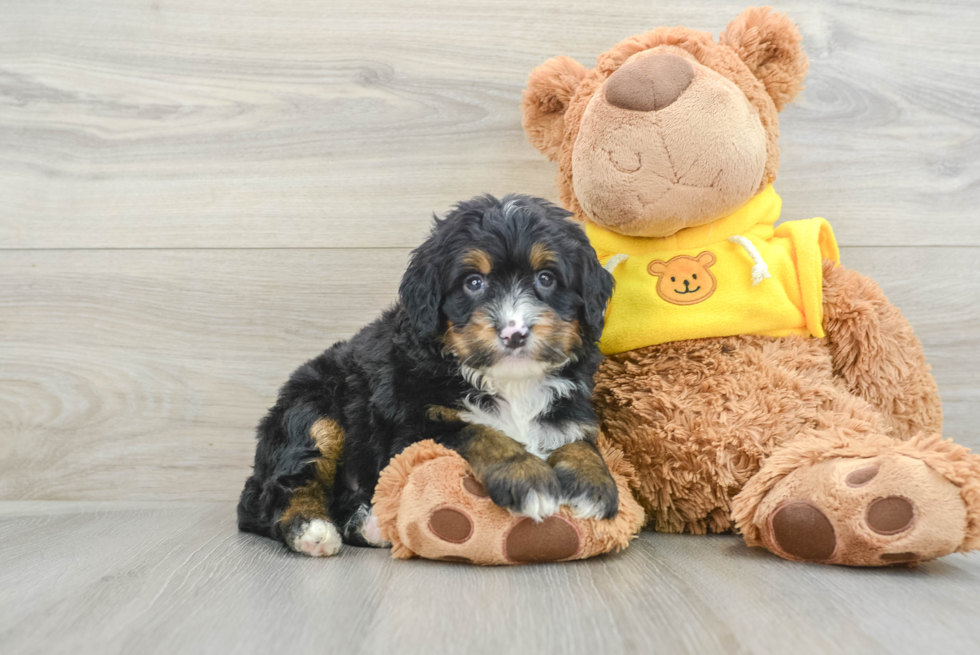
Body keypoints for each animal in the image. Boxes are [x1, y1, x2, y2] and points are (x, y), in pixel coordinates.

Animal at [239, 195, 612, 560]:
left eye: (546, 278)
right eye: (473, 283)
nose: (514, 333)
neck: (509, 380)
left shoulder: (569, 409)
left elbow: (579, 441)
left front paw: (593, 484)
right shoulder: (415, 428)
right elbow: (480, 432)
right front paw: (528, 477)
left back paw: (370, 525)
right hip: (312, 411)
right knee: (280, 489)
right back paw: (311, 529)